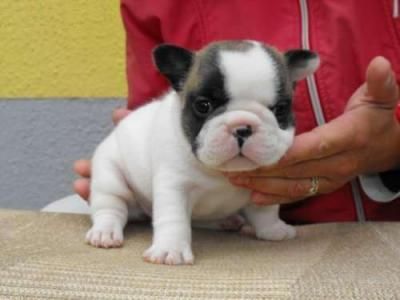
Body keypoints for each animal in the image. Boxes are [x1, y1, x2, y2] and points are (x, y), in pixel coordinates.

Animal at [86, 39, 320, 264]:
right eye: (203, 105)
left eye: (280, 109)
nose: (242, 127)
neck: (220, 173)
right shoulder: (174, 186)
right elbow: (174, 218)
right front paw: (171, 249)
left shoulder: (261, 188)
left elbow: (266, 211)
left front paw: (273, 229)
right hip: (110, 174)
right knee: (111, 205)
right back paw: (105, 232)